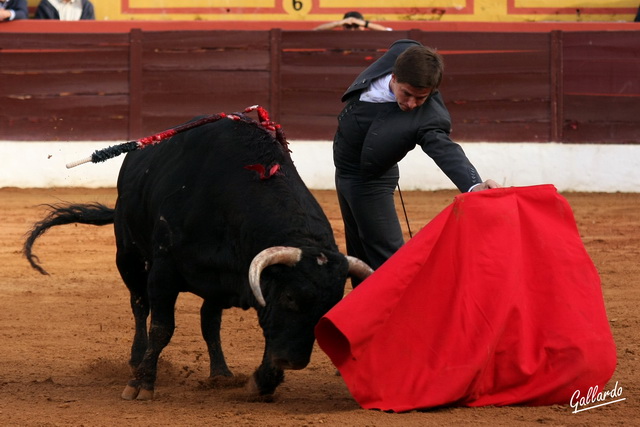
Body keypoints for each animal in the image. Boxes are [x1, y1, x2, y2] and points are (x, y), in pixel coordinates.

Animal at [22, 116, 372, 402]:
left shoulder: (246, 281)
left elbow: (261, 330)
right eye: (289, 297)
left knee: (208, 319)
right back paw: (136, 360)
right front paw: (141, 384)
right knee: (139, 306)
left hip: (211, 285)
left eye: (330, 307)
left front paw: (262, 383)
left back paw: (220, 373)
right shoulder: (164, 271)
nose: (294, 361)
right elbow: (161, 327)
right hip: (129, 257)